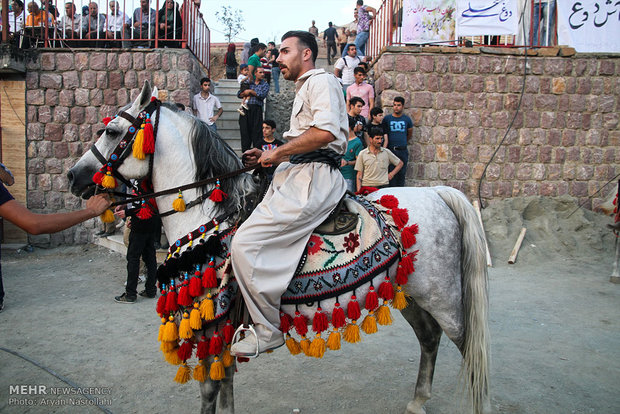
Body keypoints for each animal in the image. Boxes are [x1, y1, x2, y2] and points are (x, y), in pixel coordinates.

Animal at [68, 83, 492, 414]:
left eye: (112, 130)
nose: (73, 176)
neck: (208, 215)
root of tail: (438, 193)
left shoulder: (211, 321)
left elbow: (209, 388)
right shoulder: (223, 326)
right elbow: (225, 385)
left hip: (443, 297)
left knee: (470, 350)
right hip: (411, 292)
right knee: (429, 338)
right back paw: (417, 401)